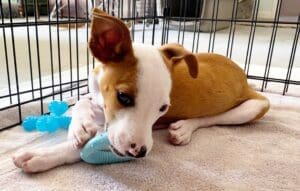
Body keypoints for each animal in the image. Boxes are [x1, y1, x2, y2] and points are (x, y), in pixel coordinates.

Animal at [11, 8, 270, 173]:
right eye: (123, 97)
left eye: (163, 108)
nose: (140, 153)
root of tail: (245, 79)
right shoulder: (102, 102)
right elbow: (84, 102)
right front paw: (80, 126)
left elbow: (85, 147)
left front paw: (41, 156)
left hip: (254, 107)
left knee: (213, 118)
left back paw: (184, 129)